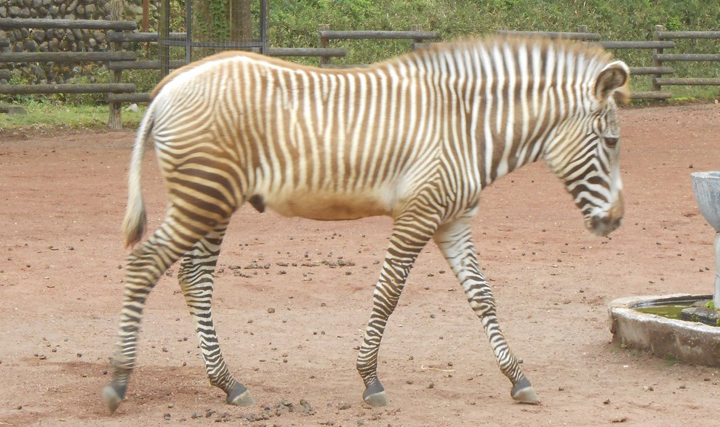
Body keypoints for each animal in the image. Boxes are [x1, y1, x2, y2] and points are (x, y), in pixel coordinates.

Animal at [102, 36, 632, 414]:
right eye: (610, 142)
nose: (617, 221)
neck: (465, 127)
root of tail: (172, 82)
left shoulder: (453, 221)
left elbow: (482, 295)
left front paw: (518, 378)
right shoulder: (418, 214)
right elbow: (388, 294)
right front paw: (370, 380)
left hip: (212, 201)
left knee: (193, 279)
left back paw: (229, 384)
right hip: (204, 195)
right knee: (146, 265)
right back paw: (118, 382)